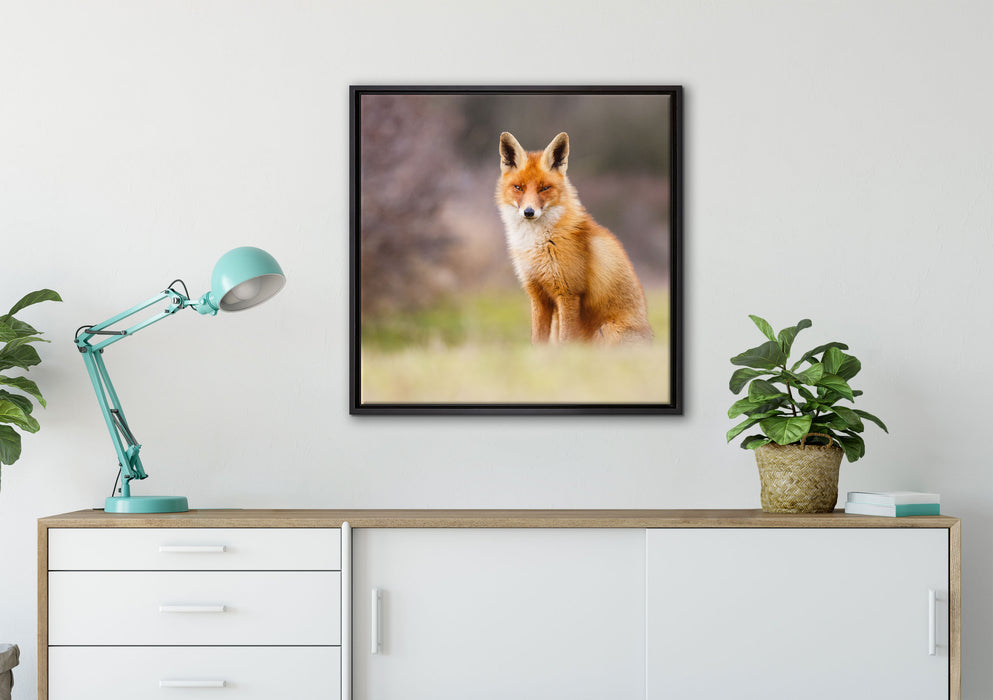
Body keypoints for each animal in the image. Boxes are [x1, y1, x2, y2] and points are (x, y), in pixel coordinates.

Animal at [495, 131, 653, 345]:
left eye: (544, 188)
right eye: (518, 187)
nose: (529, 212)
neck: (538, 243)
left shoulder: (568, 293)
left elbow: (566, 341)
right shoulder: (538, 294)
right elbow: (537, 341)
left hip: (606, 331)